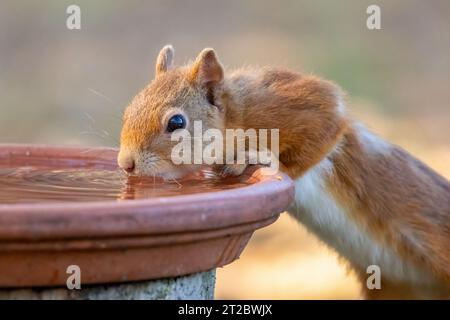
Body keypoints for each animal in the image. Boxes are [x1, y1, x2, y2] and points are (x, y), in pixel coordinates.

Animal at [118, 45, 450, 300]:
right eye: (128, 111)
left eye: (176, 122)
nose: (125, 163)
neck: (236, 115)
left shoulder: (287, 105)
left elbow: (329, 114)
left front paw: (265, 160)